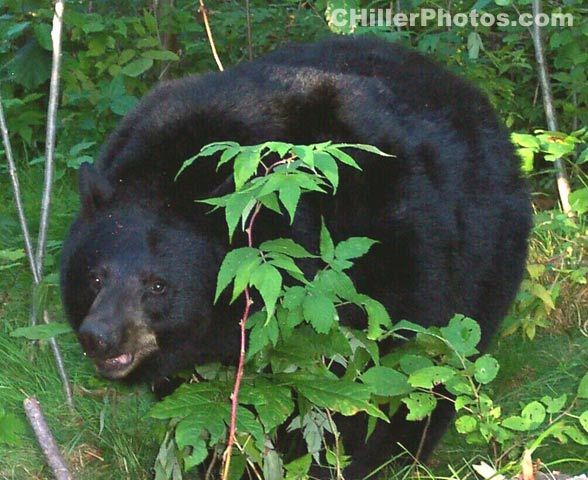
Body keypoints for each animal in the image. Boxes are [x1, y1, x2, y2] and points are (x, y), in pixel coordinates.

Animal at [60, 36, 532, 476]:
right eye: (95, 277)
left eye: (158, 285)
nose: (98, 335)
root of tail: (468, 92)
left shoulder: (388, 253)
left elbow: (368, 383)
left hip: (487, 254)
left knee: (443, 364)